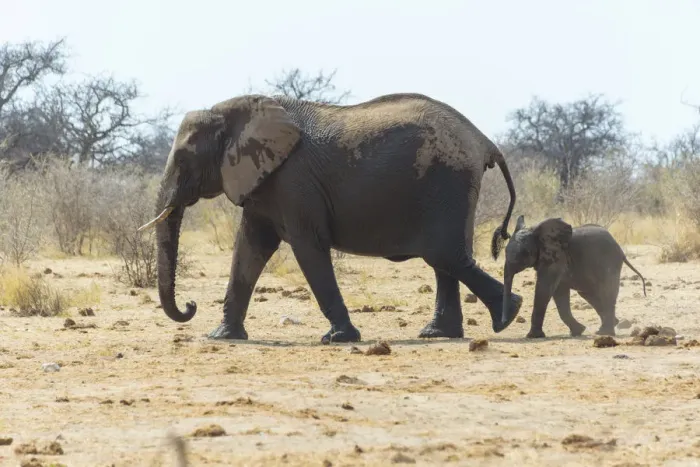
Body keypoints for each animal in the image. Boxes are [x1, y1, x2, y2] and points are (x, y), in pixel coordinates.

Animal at [138, 92, 524, 343]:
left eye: (184, 161)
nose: (190, 305)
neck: (233, 112)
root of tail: (484, 141)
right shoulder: (265, 182)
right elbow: (249, 249)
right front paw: (222, 337)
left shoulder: (294, 181)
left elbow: (307, 247)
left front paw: (339, 338)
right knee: (445, 259)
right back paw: (439, 334)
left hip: (448, 181)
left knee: (443, 254)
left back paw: (509, 315)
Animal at [497, 215, 647, 338]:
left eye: (525, 253)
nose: (503, 323)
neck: (537, 232)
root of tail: (620, 249)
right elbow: (559, 293)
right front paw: (578, 331)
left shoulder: (558, 257)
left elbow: (544, 288)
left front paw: (533, 336)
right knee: (588, 294)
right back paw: (610, 325)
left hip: (609, 262)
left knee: (606, 292)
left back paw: (605, 333)